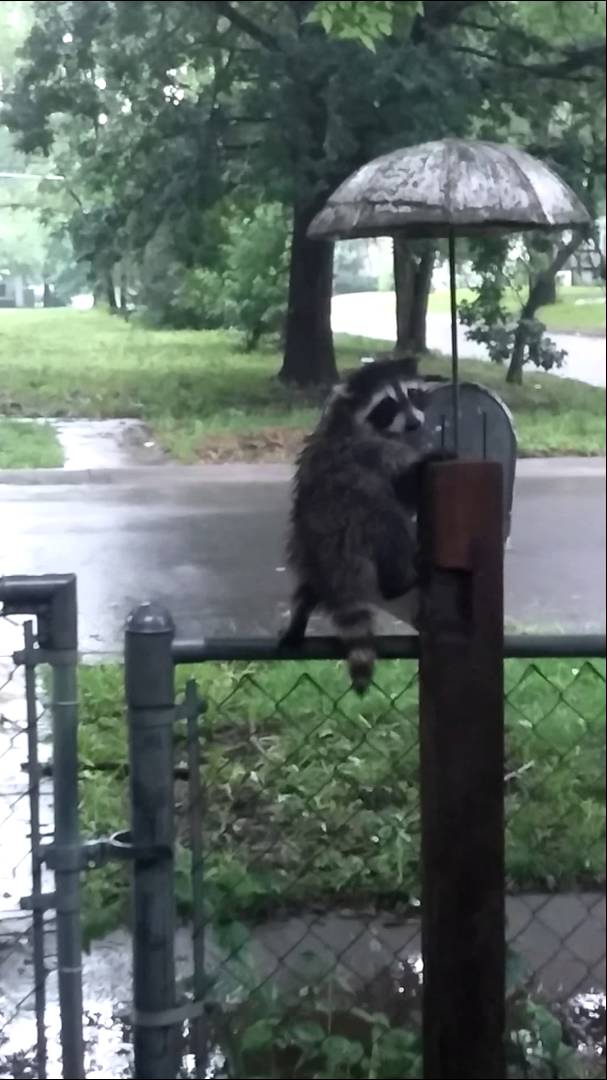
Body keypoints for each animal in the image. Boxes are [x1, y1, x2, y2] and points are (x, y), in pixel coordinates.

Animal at [280, 358, 449, 695]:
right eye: (388, 405)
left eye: (412, 394)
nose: (414, 423)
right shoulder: (372, 451)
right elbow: (404, 486)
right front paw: (430, 459)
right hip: (363, 517)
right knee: (393, 526)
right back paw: (400, 579)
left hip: (306, 547)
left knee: (309, 585)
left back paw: (300, 612)